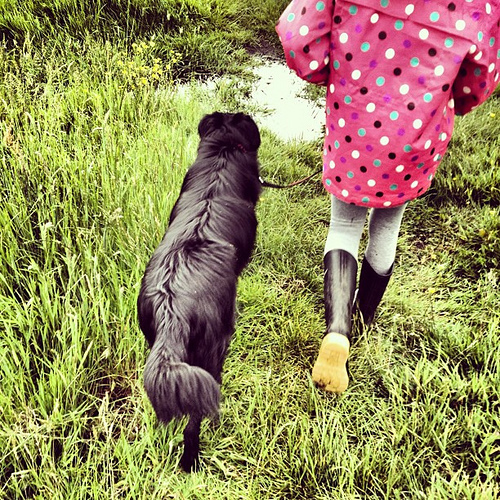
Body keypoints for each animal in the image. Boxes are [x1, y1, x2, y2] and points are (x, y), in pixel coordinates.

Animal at [137, 112, 262, 471]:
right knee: (195, 417)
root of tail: (172, 308)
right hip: (212, 351)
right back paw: (190, 458)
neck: (222, 152)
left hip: (153, 339)